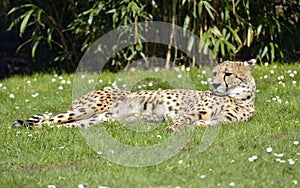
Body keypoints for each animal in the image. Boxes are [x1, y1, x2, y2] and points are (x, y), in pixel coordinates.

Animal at [11, 59, 255, 132]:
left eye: (228, 73)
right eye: (215, 73)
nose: (214, 83)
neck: (239, 98)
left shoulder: (221, 122)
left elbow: (208, 124)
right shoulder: (192, 112)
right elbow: (183, 120)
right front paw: (173, 128)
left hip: (95, 120)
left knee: (58, 125)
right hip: (90, 108)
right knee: (47, 121)